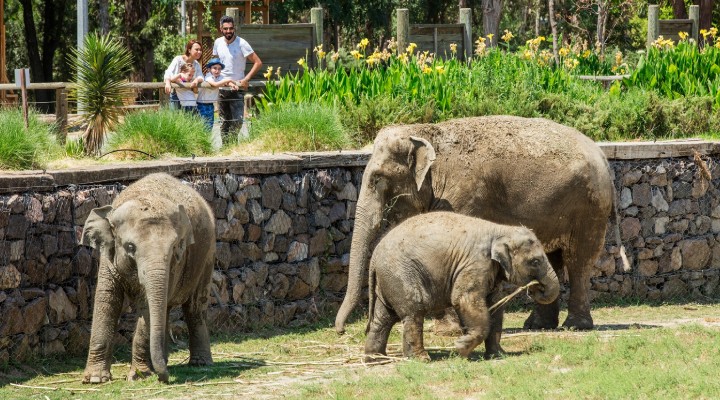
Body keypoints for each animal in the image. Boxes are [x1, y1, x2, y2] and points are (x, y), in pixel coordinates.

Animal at [81, 173, 215, 384]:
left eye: (175, 247)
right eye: (130, 247)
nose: (165, 379)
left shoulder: (175, 264)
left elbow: (146, 307)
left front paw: (139, 375)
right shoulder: (108, 258)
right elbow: (107, 298)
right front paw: (95, 379)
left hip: (207, 256)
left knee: (195, 307)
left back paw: (199, 364)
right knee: (166, 309)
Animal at [334, 115, 620, 334]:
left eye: (377, 179)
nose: (344, 330)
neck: (425, 132)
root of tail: (603, 155)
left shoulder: (464, 194)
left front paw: (448, 332)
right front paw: (446, 330)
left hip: (589, 206)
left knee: (578, 259)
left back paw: (576, 326)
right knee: (553, 258)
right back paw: (537, 325)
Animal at [366, 212, 564, 362]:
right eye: (535, 262)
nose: (535, 288)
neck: (501, 229)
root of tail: (374, 256)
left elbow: (495, 305)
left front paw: (498, 355)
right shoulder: (475, 263)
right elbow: (464, 299)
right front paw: (460, 348)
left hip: (388, 280)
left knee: (383, 317)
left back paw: (376, 358)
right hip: (401, 274)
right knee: (414, 312)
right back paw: (421, 359)